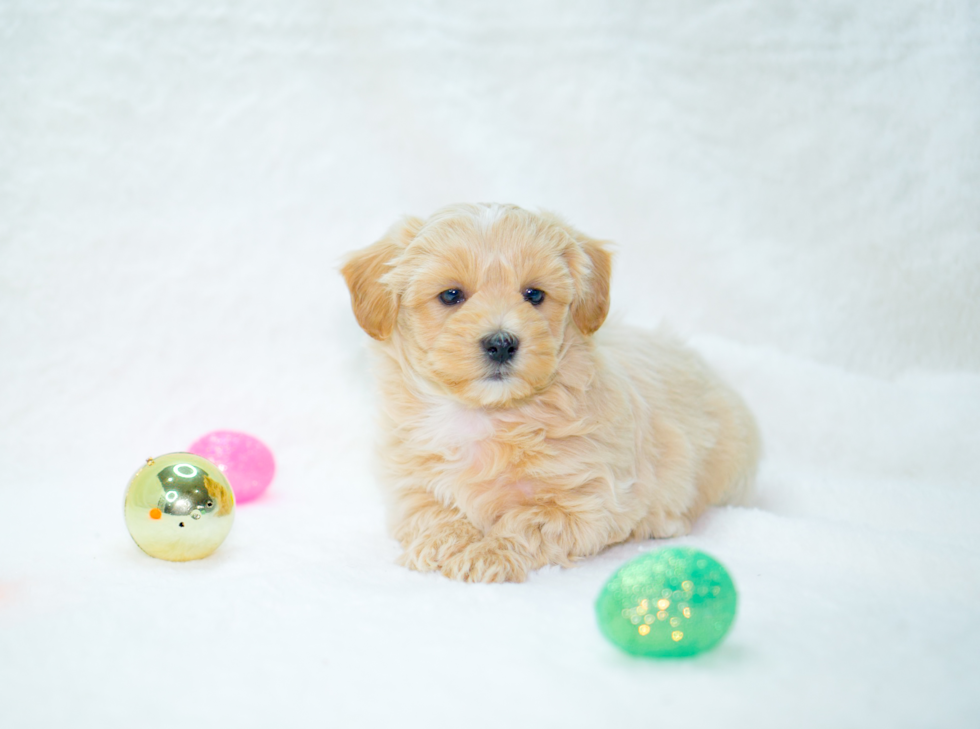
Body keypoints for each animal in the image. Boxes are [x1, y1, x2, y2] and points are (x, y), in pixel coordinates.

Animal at [340, 202, 760, 584]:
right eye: (451, 295)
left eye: (534, 294)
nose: (501, 343)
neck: (487, 415)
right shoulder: (411, 485)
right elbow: (433, 513)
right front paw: (444, 542)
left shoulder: (585, 501)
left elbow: (527, 522)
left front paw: (488, 553)